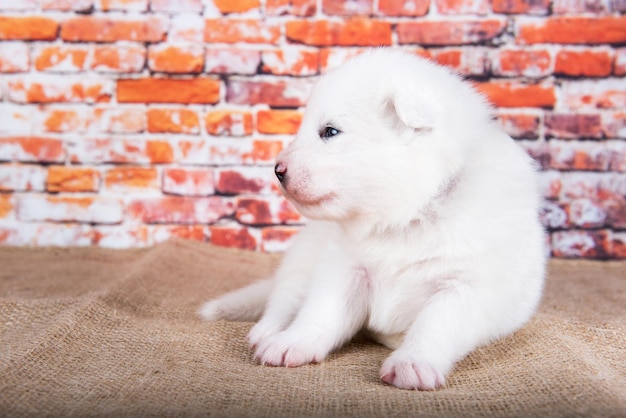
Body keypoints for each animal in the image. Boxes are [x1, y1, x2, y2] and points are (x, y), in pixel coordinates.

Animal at [201, 49, 544, 392]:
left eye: (330, 132)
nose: (277, 170)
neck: (405, 218)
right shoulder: (347, 269)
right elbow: (321, 311)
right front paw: (293, 343)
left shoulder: (466, 285)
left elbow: (435, 325)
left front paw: (412, 363)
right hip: (304, 259)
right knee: (284, 298)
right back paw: (269, 331)